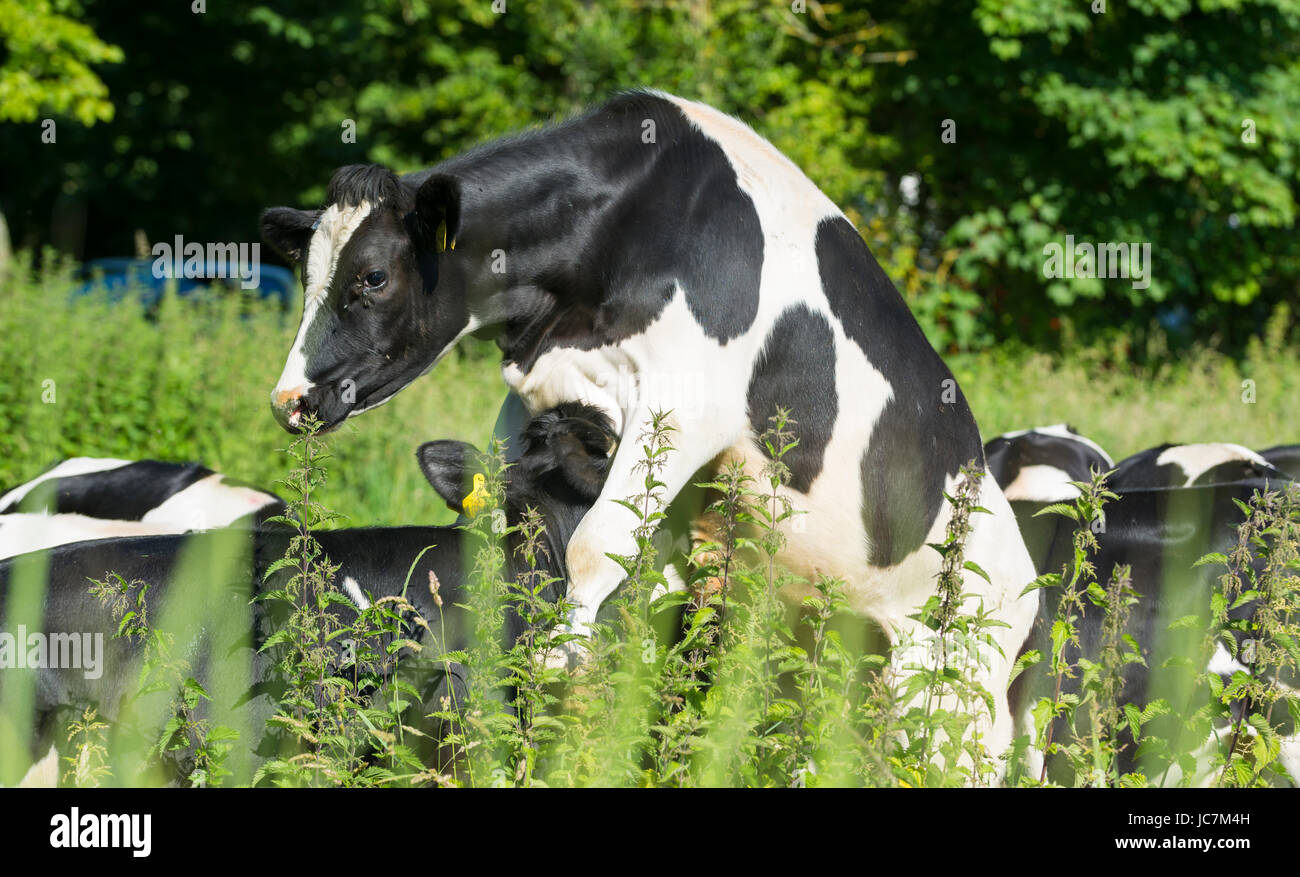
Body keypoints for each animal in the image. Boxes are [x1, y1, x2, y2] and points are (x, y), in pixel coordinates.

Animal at [258, 90, 1040, 763]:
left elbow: (595, 546)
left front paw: (559, 664)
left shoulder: (687, 402)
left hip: (958, 688)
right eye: (307, 274)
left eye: (373, 277)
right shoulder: (538, 392)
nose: (289, 397)